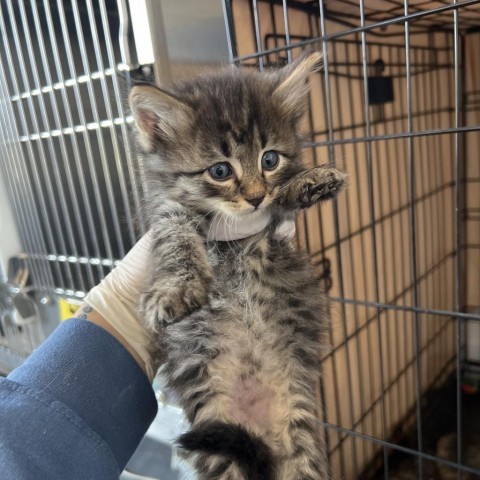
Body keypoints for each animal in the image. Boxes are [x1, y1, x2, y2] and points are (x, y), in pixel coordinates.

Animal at [129, 52, 346, 480]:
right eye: (220, 171)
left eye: (270, 159)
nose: (255, 197)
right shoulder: (167, 213)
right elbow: (176, 240)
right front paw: (176, 288)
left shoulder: (272, 227)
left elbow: (282, 204)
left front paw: (310, 180)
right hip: (214, 432)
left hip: (299, 430)